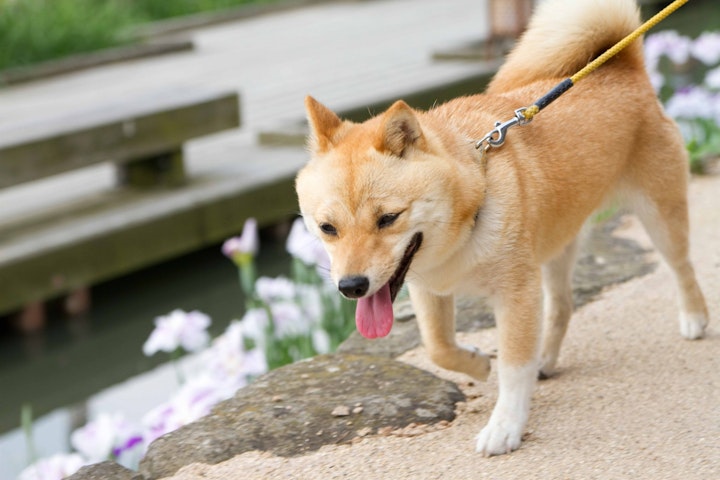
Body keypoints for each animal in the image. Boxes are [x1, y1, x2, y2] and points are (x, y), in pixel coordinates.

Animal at [294, 0, 708, 458]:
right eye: (327, 228)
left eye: (388, 218)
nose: (351, 286)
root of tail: (624, 68)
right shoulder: (429, 289)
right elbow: (439, 348)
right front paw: (476, 363)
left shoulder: (516, 294)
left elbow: (513, 365)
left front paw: (505, 425)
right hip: (558, 246)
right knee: (562, 307)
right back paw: (547, 360)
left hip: (660, 219)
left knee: (682, 267)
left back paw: (694, 317)